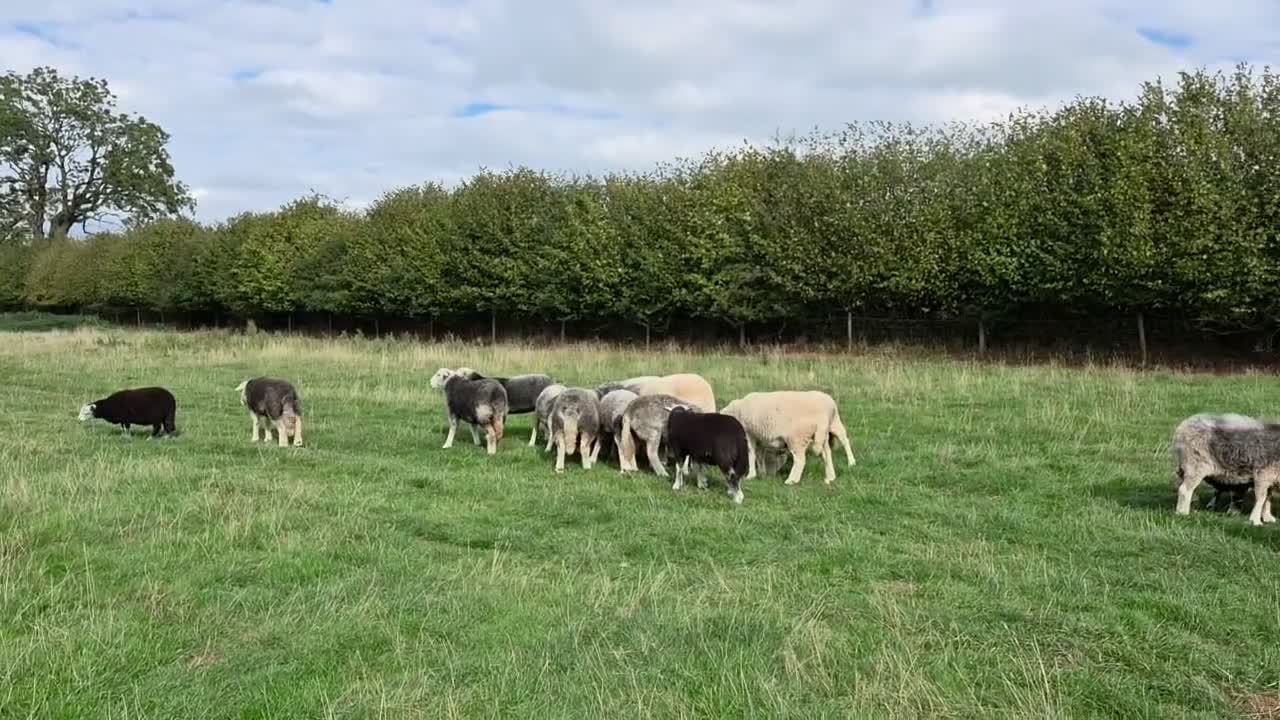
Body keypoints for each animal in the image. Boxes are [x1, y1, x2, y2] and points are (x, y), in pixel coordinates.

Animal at [720, 390, 856, 486]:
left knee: (801, 459)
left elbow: (751, 454)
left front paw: (751, 475)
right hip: (821, 435)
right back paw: (830, 477)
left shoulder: (749, 434)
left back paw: (792, 480)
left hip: (797, 437)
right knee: (827, 454)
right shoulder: (760, 437)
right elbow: (759, 455)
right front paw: (762, 472)